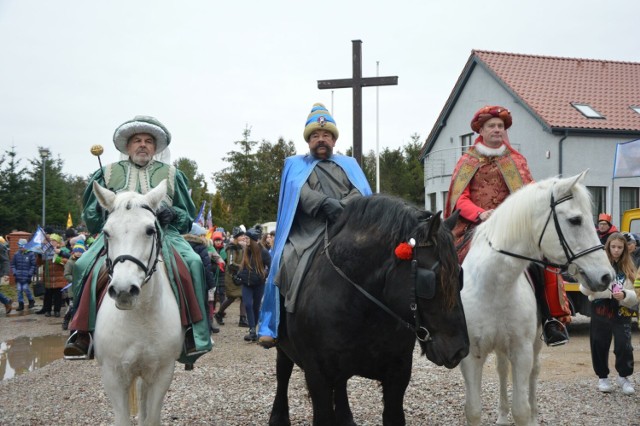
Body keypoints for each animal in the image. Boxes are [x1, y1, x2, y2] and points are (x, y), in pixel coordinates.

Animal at [92, 180, 182, 426]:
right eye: (106, 232)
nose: (124, 290)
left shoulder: (162, 373)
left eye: (150, 230)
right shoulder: (113, 376)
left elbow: (151, 418)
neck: (139, 317)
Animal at [270, 195, 470, 424]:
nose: (460, 350)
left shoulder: (398, 374)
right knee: (282, 371)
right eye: (431, 280)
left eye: (459, 275)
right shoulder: (317, 376)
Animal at [460, 171, 616, 424]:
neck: (494, 285)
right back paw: (501, 416)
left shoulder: (522, 350)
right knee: (502, 370)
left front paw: (528, 416)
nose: (606, 276)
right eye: (575, 220)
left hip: (534, 342)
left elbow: (521, 409)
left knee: (533, 372)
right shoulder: (471, 354)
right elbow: (473, 410)